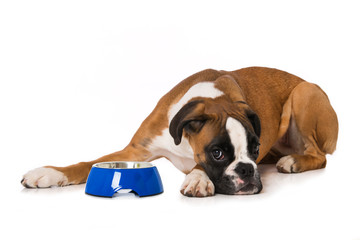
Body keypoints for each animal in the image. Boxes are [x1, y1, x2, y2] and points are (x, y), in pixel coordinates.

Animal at [21, 66, 338, 196]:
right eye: (218, 153)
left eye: (255, 149)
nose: (248, 169)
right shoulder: (135, 150)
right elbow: (87, 164)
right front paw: (50, 173)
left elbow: (198, 165)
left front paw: (198, 179)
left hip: (305, 93)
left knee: (320, 156)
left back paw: (293, 161)